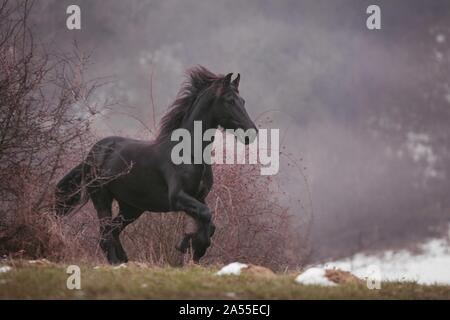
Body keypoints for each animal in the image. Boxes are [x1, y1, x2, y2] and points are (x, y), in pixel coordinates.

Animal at [54, 66, 256, 264]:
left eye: (243, 101)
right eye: (229, 100)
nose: (251, 133)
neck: (190, 152)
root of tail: (92, 154)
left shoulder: (198, 197)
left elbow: (210, 224)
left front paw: (190, 245)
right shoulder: (178, 197)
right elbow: (206, 215)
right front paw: (190, 246)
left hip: (132, 207)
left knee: (114, 230)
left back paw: (124, 260)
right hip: (102, 198)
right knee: (105, 236)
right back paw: (115, 263)